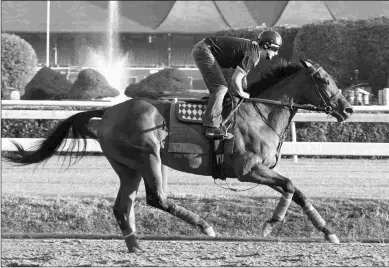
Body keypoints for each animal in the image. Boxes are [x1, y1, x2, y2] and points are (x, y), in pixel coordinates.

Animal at [3, 59, 354, 253]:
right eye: (324, 80)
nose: (348, 109)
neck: (262, 113)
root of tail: (110, 109)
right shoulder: (248, 170)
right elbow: (291, 186)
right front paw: (271, 224)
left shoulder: (259, 171)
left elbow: (298, 191)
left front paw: (328, 232)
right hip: (148, 156)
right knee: (156, 198)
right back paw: (204, 227)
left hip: (127, 166)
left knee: (123, 205)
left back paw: (136, 247)